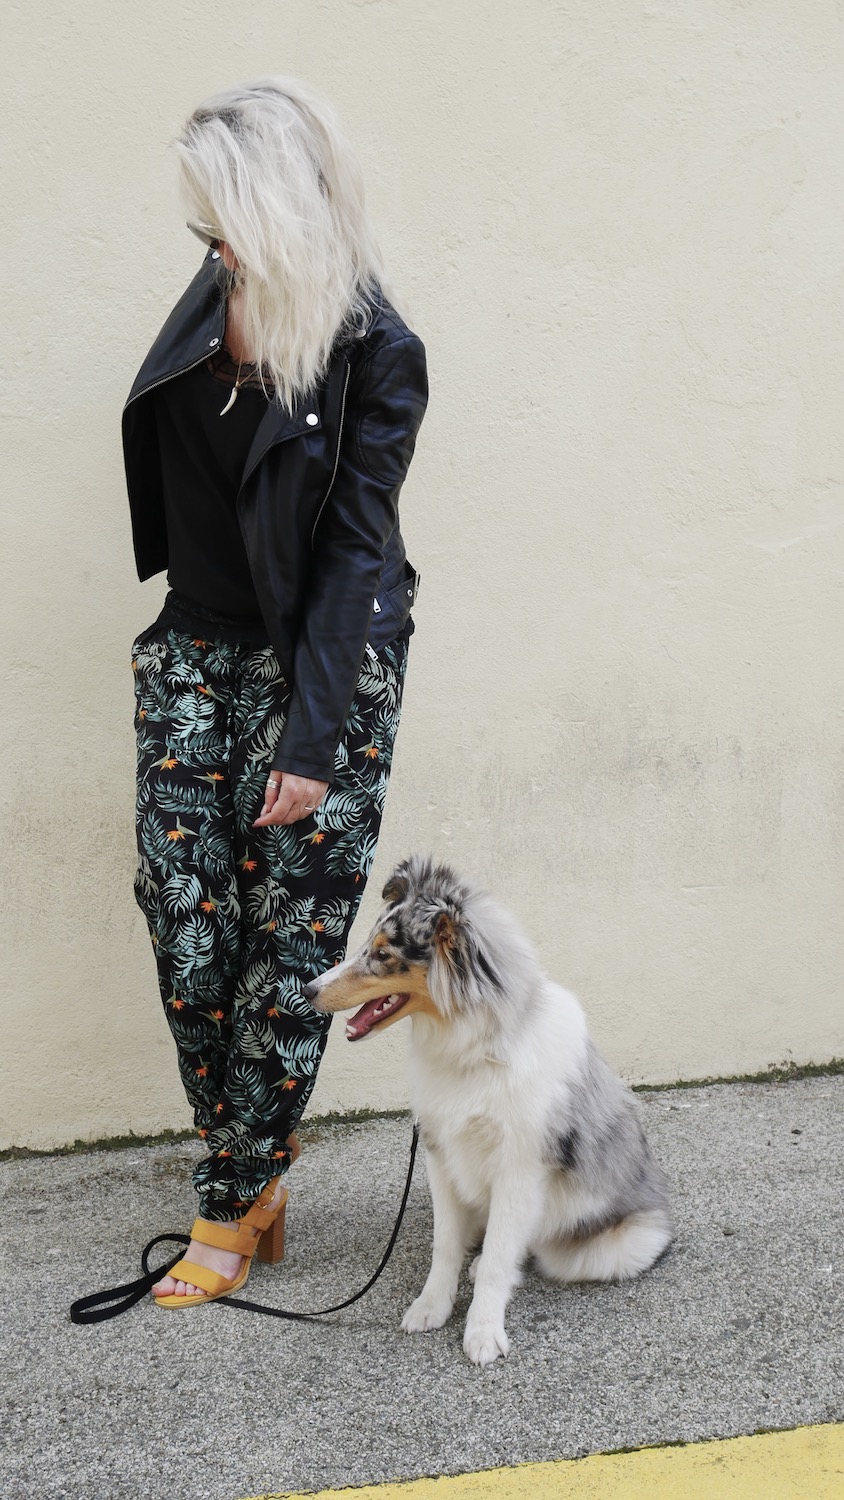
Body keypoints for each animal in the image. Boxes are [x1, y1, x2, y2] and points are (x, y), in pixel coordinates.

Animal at [304, 855, 673, 1366]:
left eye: (381, 954)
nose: (307, 988)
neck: (475, 1051)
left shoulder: (519, 1166)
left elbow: (501, 1256)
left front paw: (482, 1331)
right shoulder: (440, 1153)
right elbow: (444, 1245)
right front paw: (431, 1307)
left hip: (611, 1247)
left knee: (529, 1248)